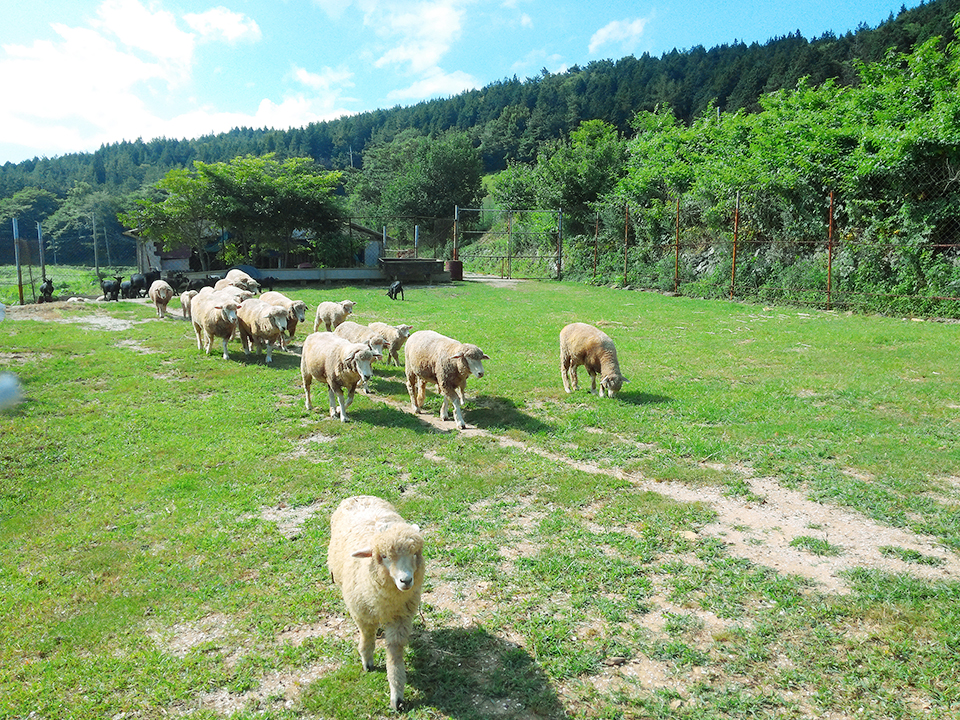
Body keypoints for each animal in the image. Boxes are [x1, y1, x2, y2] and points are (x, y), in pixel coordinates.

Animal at [326, 492, 424, 712]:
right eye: (384, 556)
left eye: (414, 554)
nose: (406, 580)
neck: (386, 603)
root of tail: (358, 495)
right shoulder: (362, 613)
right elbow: (367, 637)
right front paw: (367, 660)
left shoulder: (400, 619)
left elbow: (394, 654)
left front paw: (397, 694)